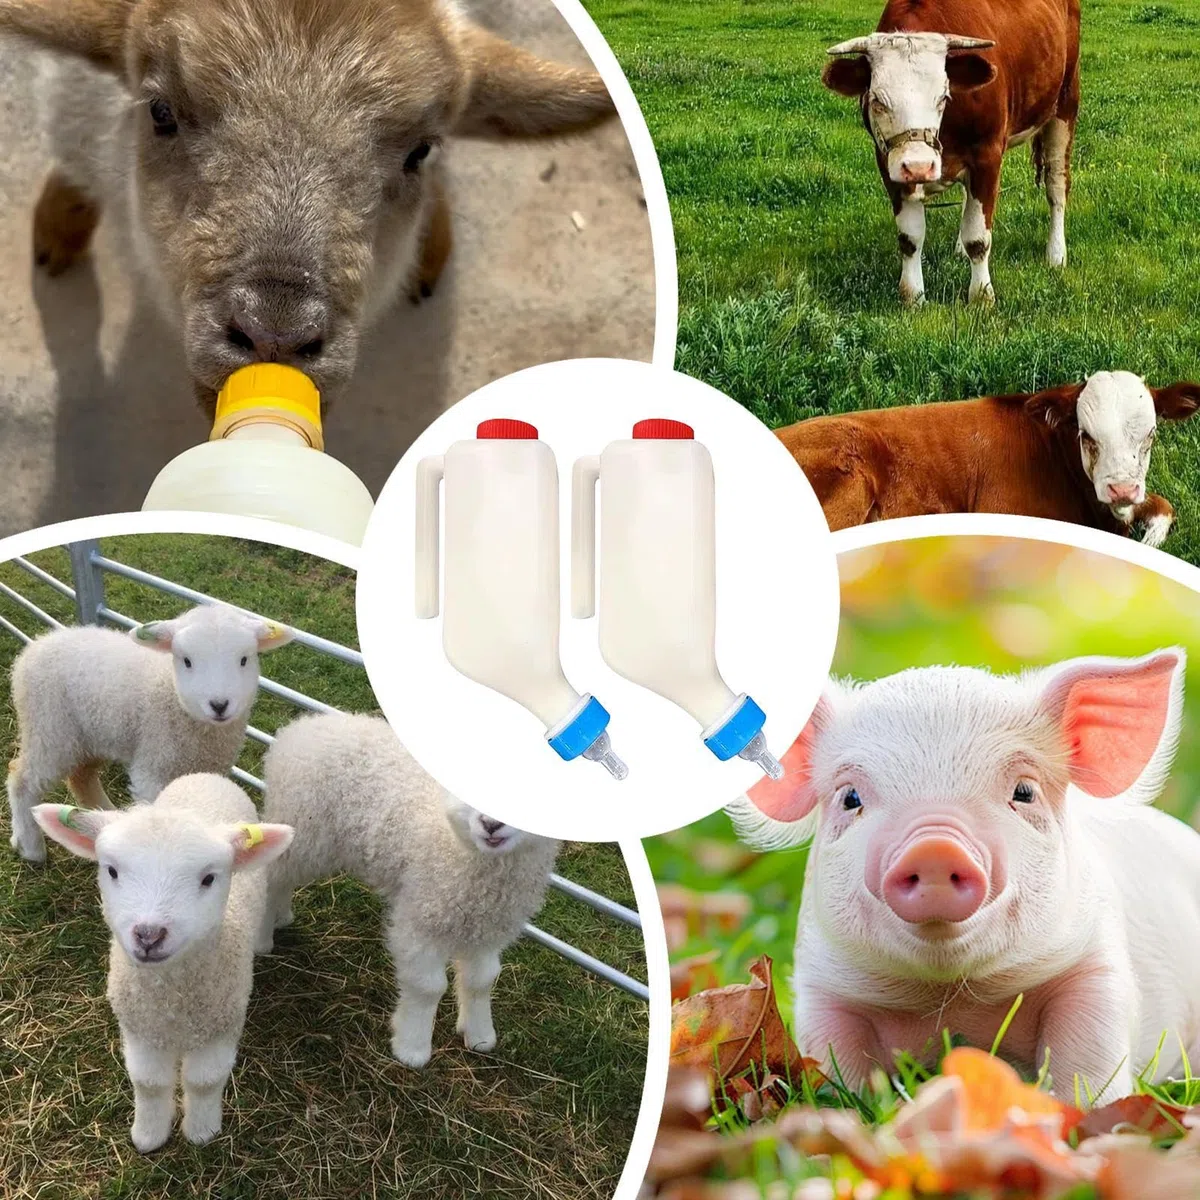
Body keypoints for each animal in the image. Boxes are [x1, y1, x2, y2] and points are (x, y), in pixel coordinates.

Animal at [7, 604, 293, 862]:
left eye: (244, 659)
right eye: (187, 661)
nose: (219, 705)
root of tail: (38, 644)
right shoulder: (153, 767)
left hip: (89, 735)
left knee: (81, 776)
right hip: (49, 729)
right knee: (21, 778)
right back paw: (30, 846)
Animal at [32, 774, 294, 1151]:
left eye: (209, 878)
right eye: (111, 870)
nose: (149, 935)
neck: (171, 999)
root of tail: (205, 776)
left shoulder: (220, 1024)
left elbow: (205, 1081)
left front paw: (202, 1132)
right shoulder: (140, 1028)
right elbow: (149, 1083)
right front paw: (148, 1136)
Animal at [257, 711, 560, 1067]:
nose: (490, 824)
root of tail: (300, 727)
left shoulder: (489, 928)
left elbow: (482, 980)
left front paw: (481, 1036)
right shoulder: (421, 916)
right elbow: (427, 986)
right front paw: (412, 1048)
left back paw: (281, 916)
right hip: (301, 829)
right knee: (269, 876)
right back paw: (262, 939)